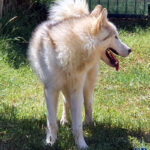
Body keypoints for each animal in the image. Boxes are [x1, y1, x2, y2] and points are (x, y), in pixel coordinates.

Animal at [27, 0, 131, 149]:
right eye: (115, 37)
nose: (130, 50)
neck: (69, 50)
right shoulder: (51, 91)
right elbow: (51, 122)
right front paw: (51, 142)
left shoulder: (76, 91)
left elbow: (77, 126)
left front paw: (82, 145)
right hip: (65, 89)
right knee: (66, 102)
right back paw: (65, 120)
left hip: (86, 87)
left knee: (88, 104)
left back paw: (89, 123)